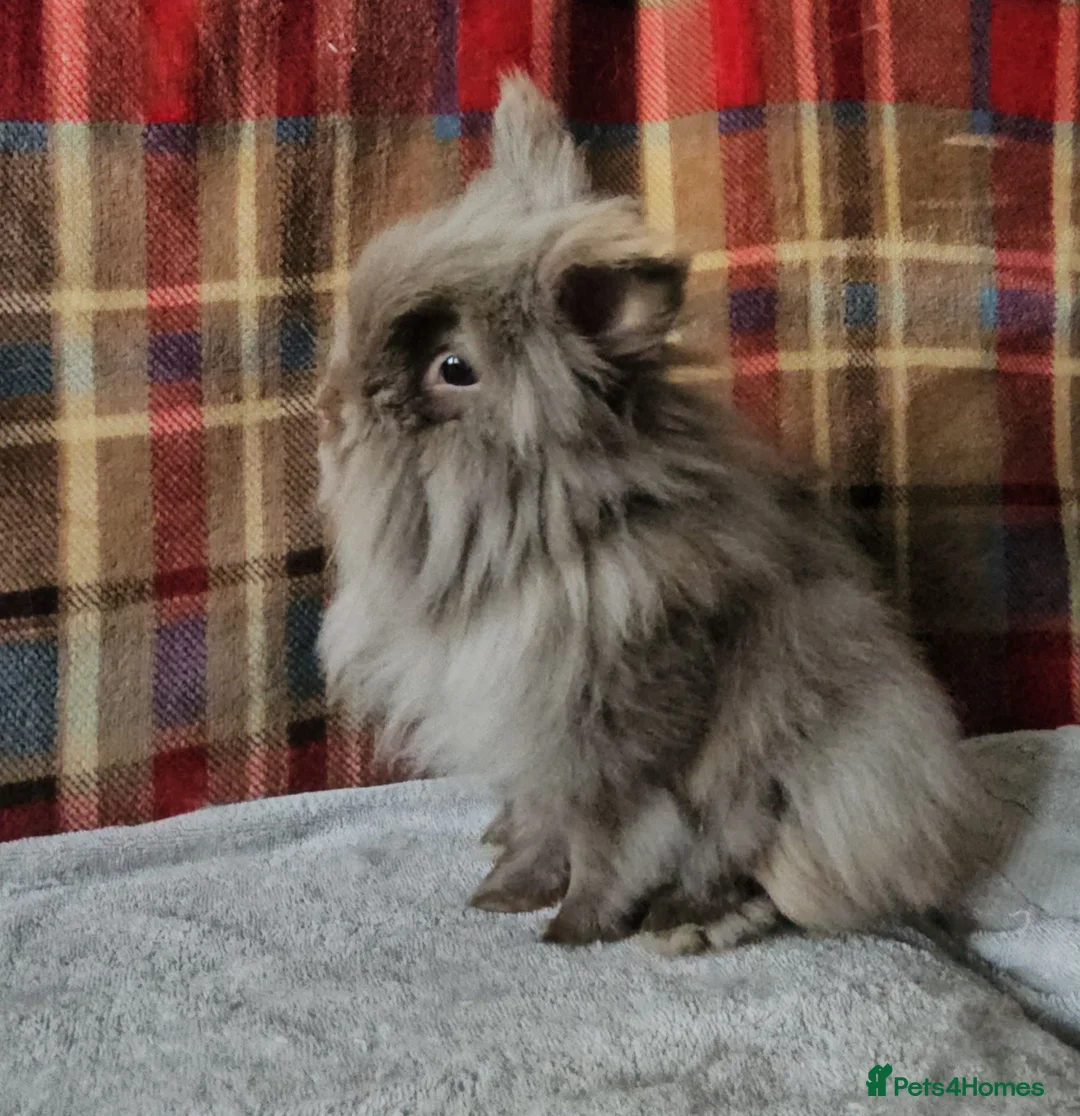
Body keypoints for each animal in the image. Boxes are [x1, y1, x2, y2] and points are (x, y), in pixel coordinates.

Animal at [316, 73, 985, 951]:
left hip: (822, 781)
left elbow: (617, 839)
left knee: (745, 857)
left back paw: (690, 924)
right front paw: (502, 896)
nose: (330, 411)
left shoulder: (614, 742)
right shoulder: (534, 749)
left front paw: (575, 929)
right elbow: (542, 830)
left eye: (453, 368)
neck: (551, 538)